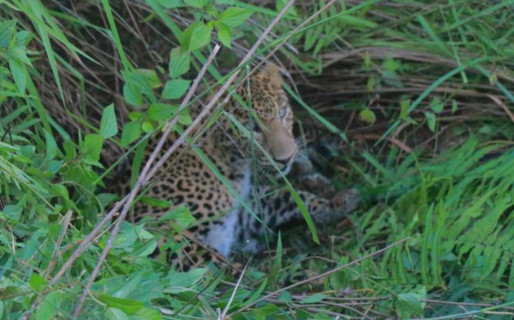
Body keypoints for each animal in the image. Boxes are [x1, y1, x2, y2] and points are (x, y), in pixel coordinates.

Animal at [118, 64, 360, 270]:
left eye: (282, 112)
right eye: (253, 128)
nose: (286, 158)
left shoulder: (242, 214)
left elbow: (287, 198)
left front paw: (338, 202)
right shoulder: (159, 231)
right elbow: (219, 268)